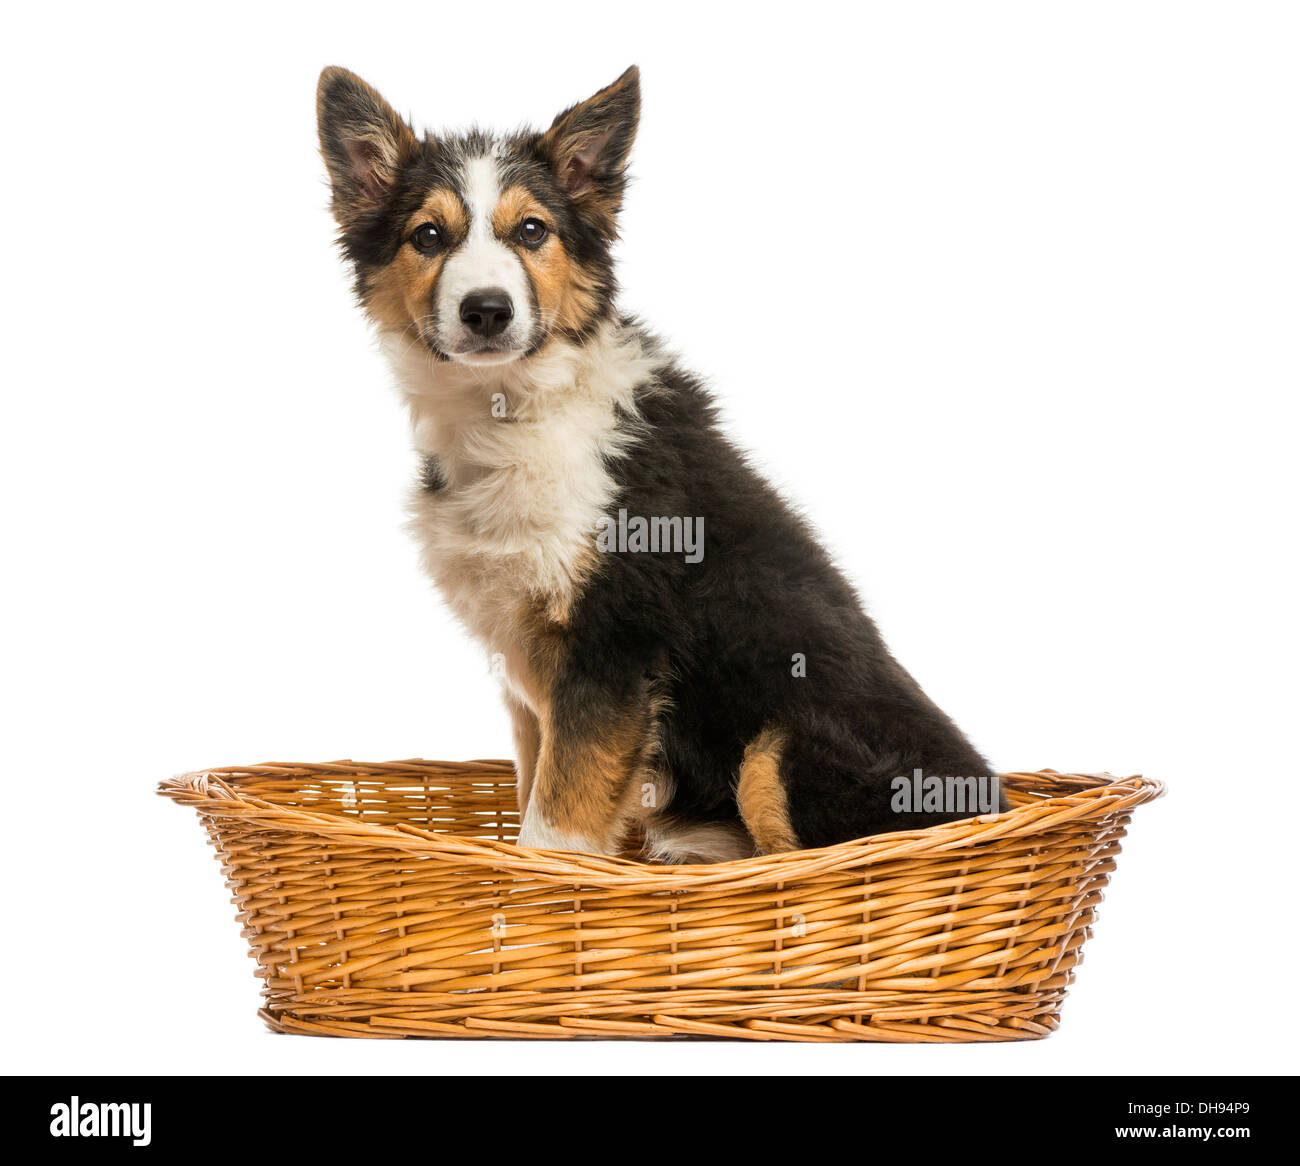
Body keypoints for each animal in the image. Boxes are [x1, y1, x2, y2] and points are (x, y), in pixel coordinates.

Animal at [314, 65, 993, 863]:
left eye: (532, 231)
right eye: (427, 236)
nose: (486, 310)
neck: (512, 414)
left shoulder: (613, 648)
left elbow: (555, 825)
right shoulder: (530, 676)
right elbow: (532, 792)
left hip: (782, 745)